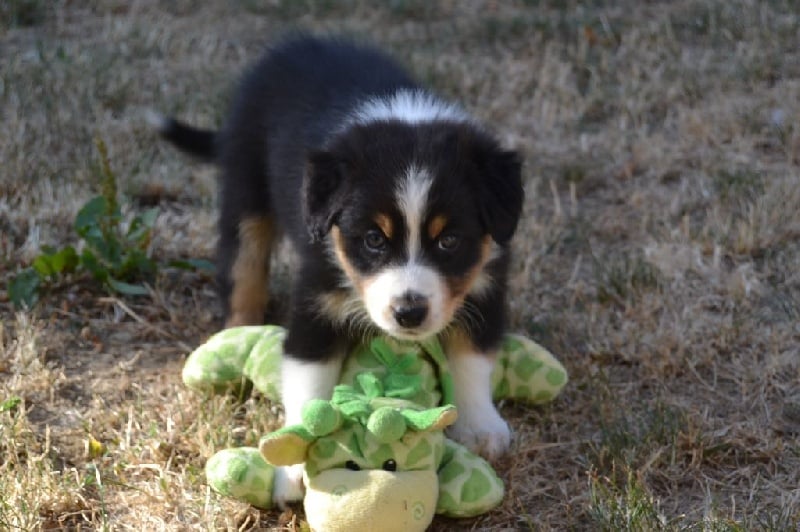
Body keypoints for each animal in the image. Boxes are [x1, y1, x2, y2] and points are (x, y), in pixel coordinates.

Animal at [156, 34, 524, 502]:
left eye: (449, 241)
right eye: (373, 239)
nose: (409, 313)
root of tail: (298, 43)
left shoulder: (486, 282)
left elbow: (473, 359)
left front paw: (480, 427)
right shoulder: (317, 299)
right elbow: (308, 383)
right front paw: (293, 468)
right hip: (245, 185)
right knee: (244, 266)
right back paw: (236, 334)